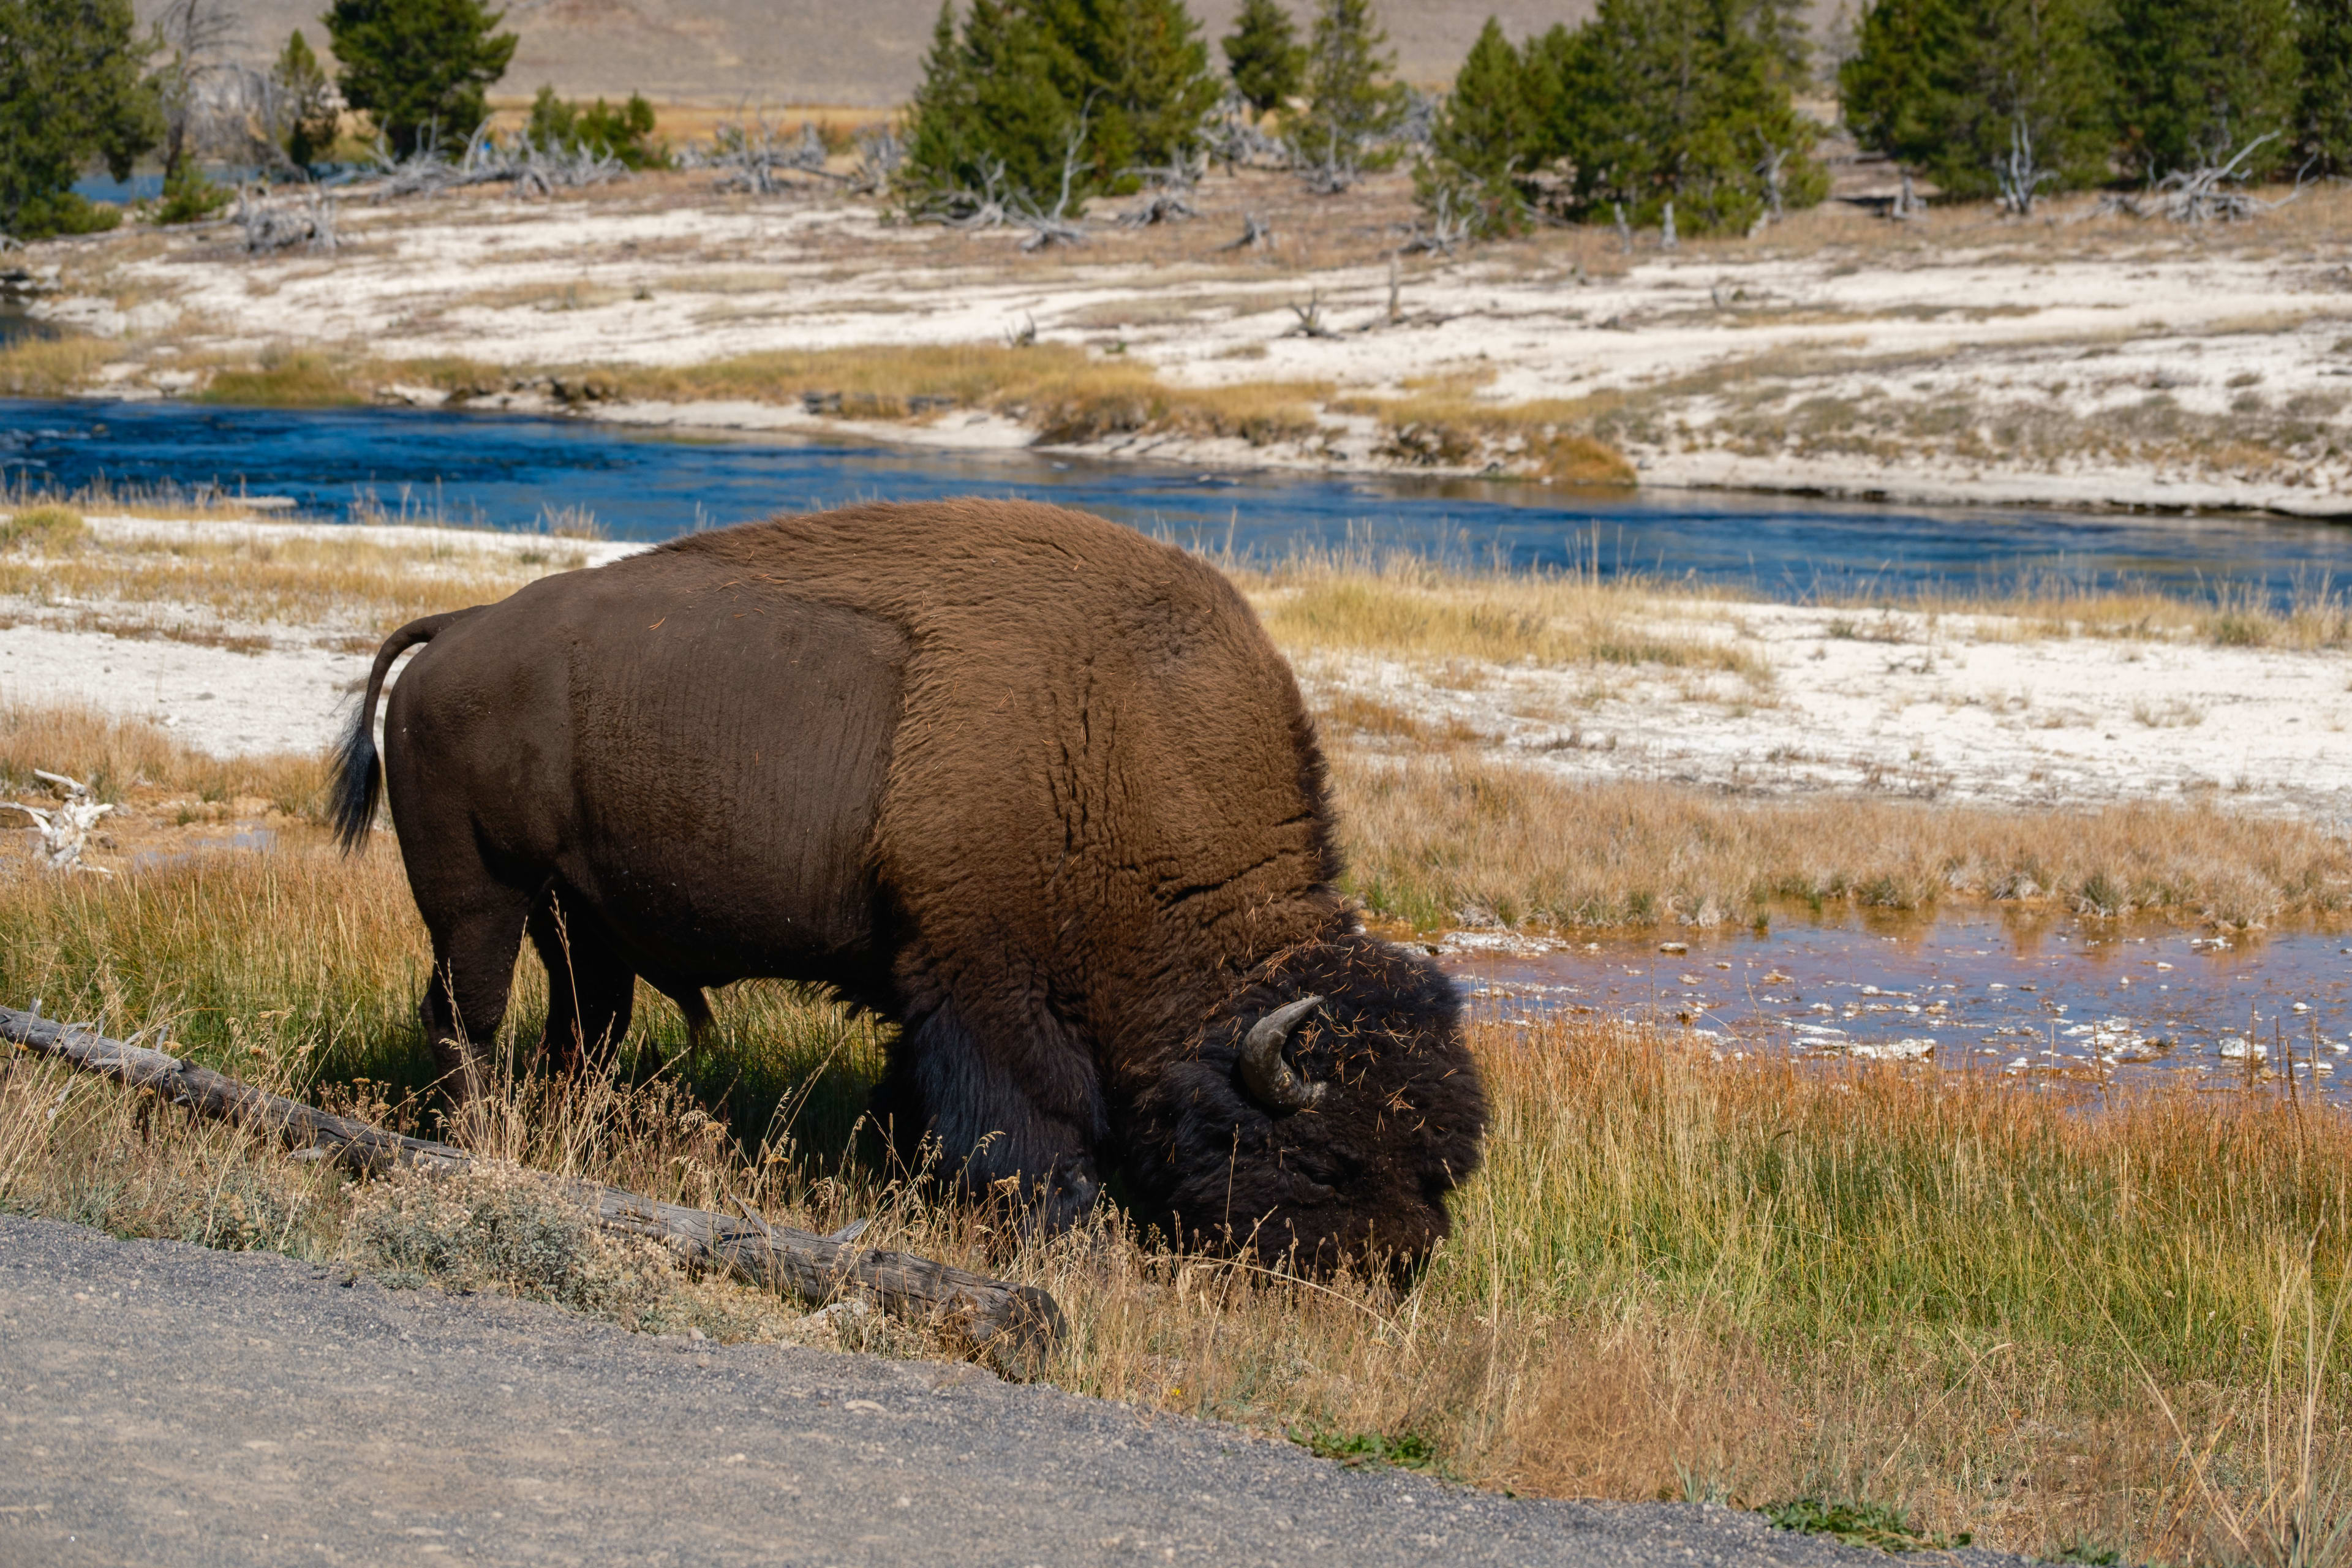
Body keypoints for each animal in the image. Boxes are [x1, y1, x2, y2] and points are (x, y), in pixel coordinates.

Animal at [331, 499, 1485, 1272]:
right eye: (1330, 1164)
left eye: (1442, 1168)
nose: (1387, 1274)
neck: (1115, 742)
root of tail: (456, 629)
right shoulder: (988, 990)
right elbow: (1030, 1128)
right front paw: (1060, 1236)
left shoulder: (928, 985)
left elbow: (913, 1104)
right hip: (482, 897)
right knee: (466, 1017)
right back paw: (480, 1142)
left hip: (580, 922)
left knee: (584, 1029)